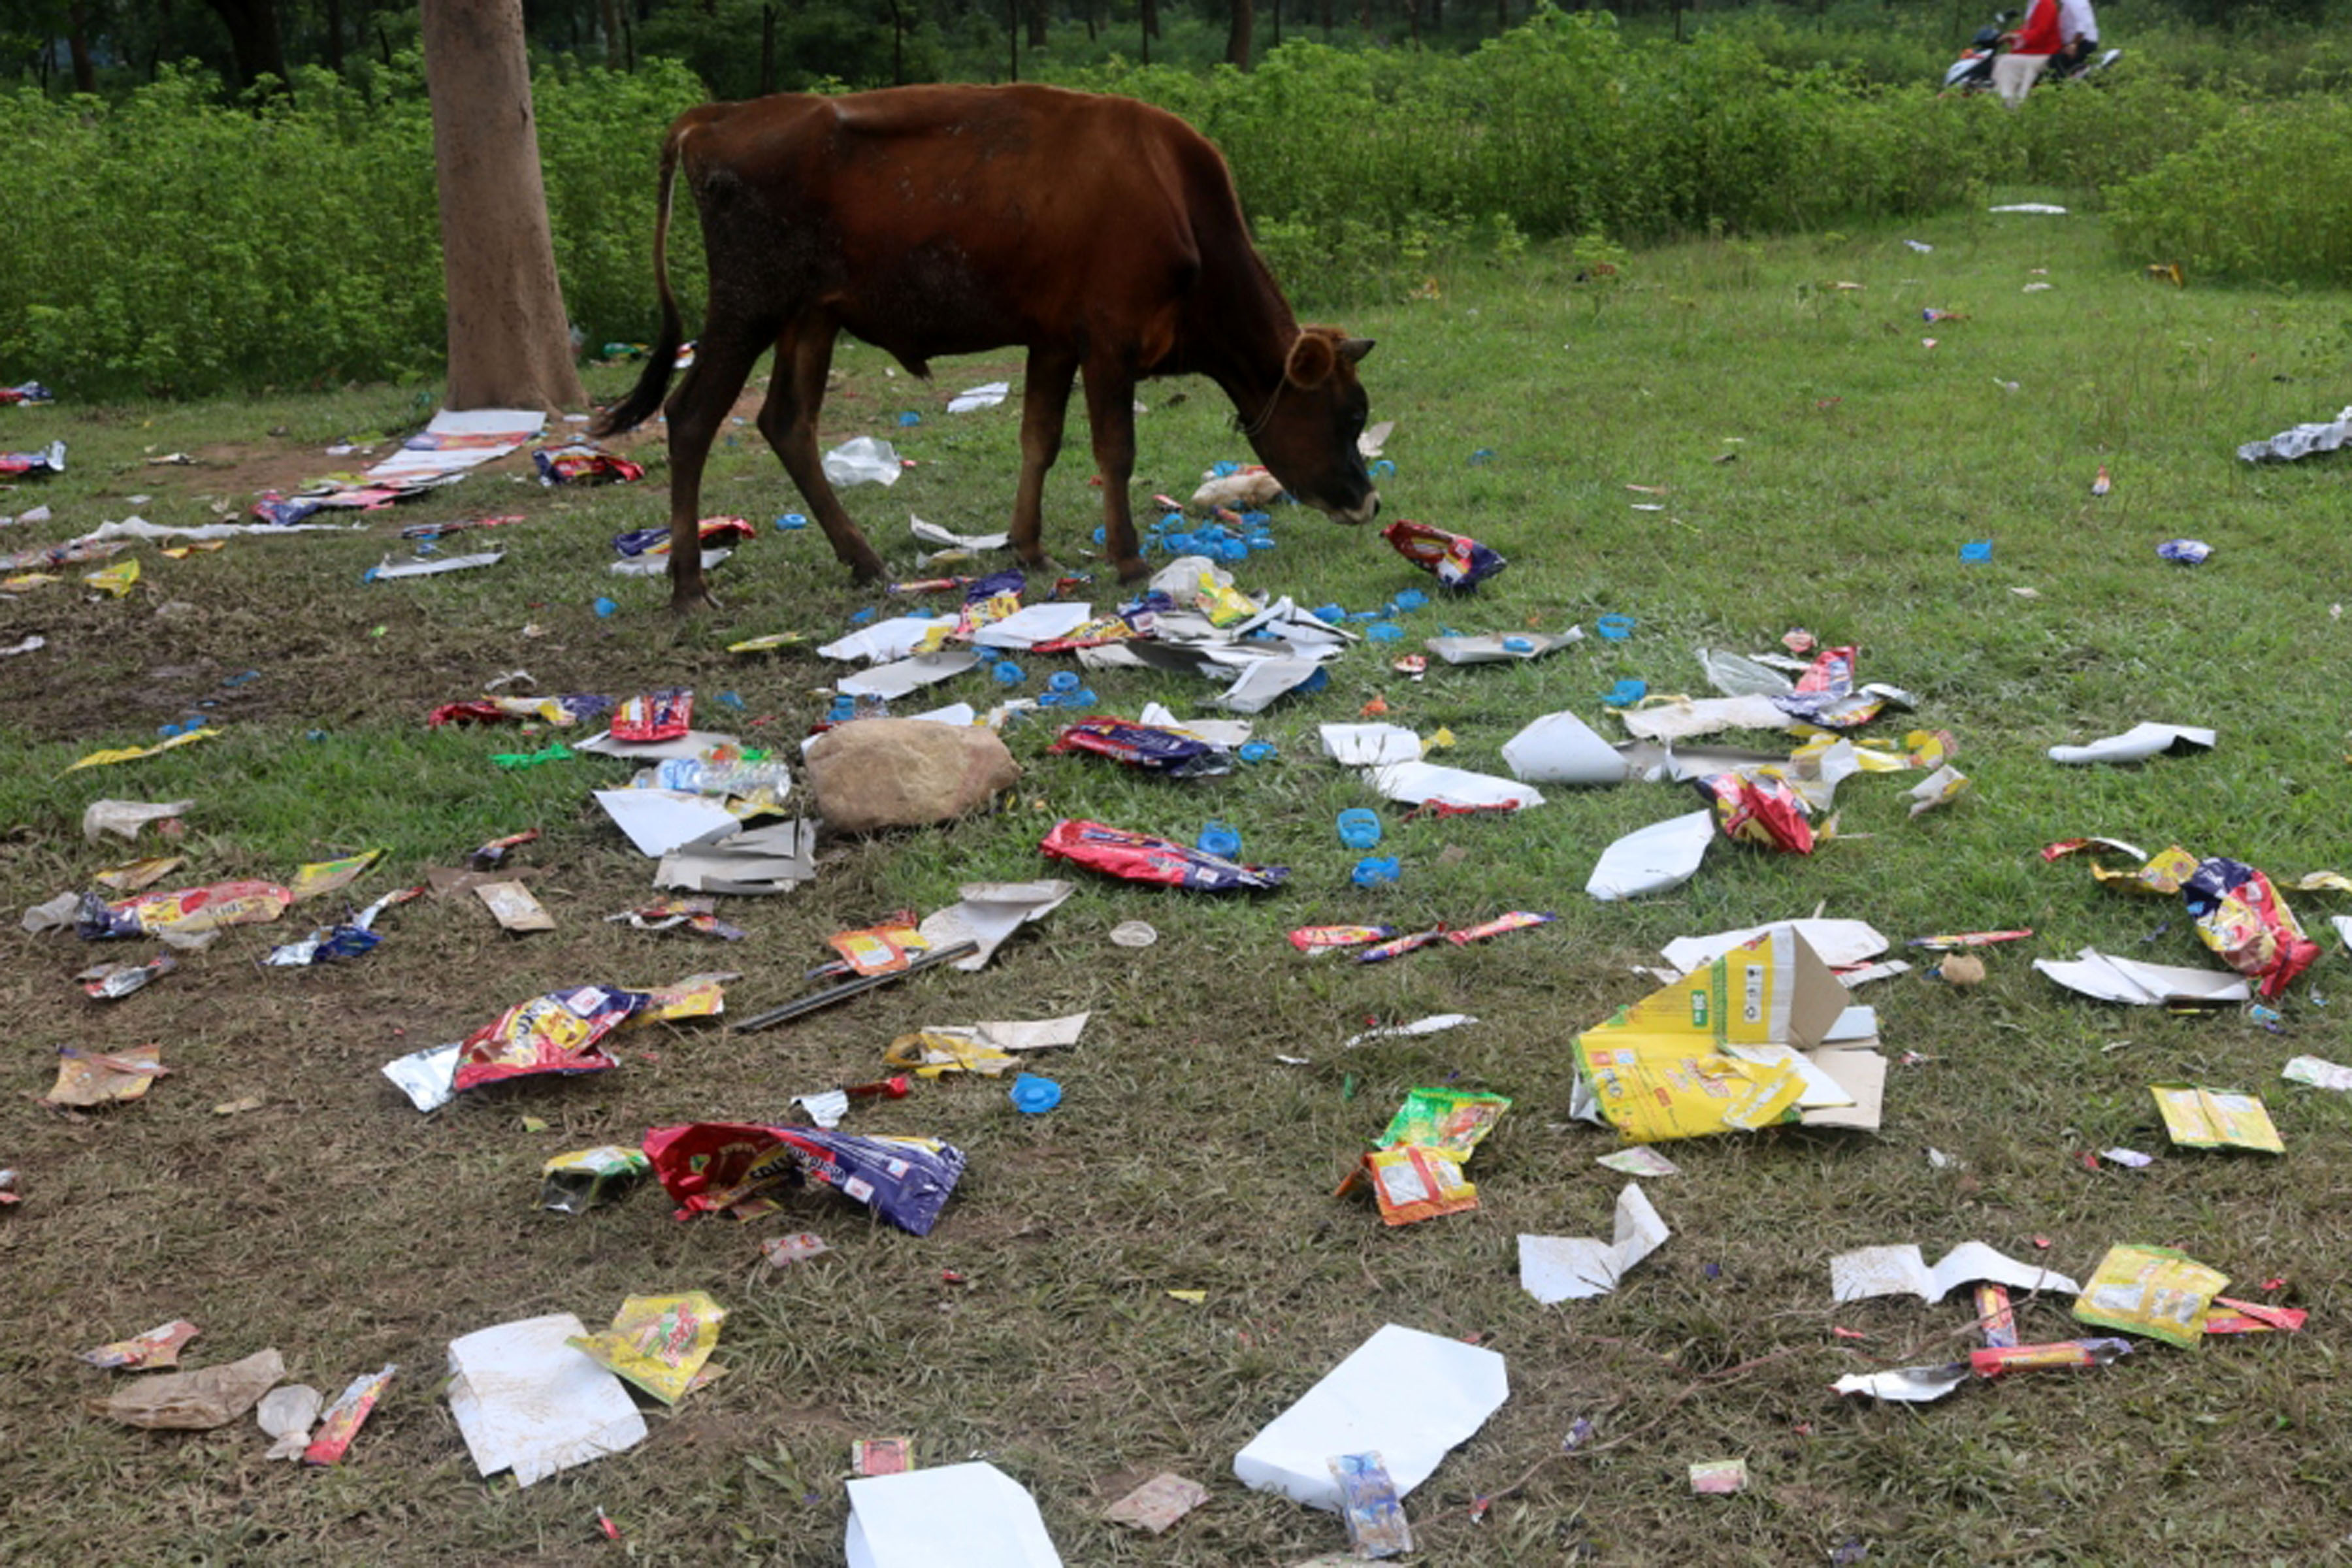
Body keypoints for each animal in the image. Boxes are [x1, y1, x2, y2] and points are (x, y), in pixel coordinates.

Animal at [588, 82, 1382, 611]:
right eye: (1348, 417)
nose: (1369, 503)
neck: (1176, 200)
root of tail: (718, 115)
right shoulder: (1110, 340)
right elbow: (1115, 450)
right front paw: (1127, 558)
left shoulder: (1055, 339)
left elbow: (1041, 439)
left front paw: (1027, 546)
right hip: (746, 305)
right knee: (693, 417)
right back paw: (689, 584)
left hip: (809, 316)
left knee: (787, 423)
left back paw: (863, 561)